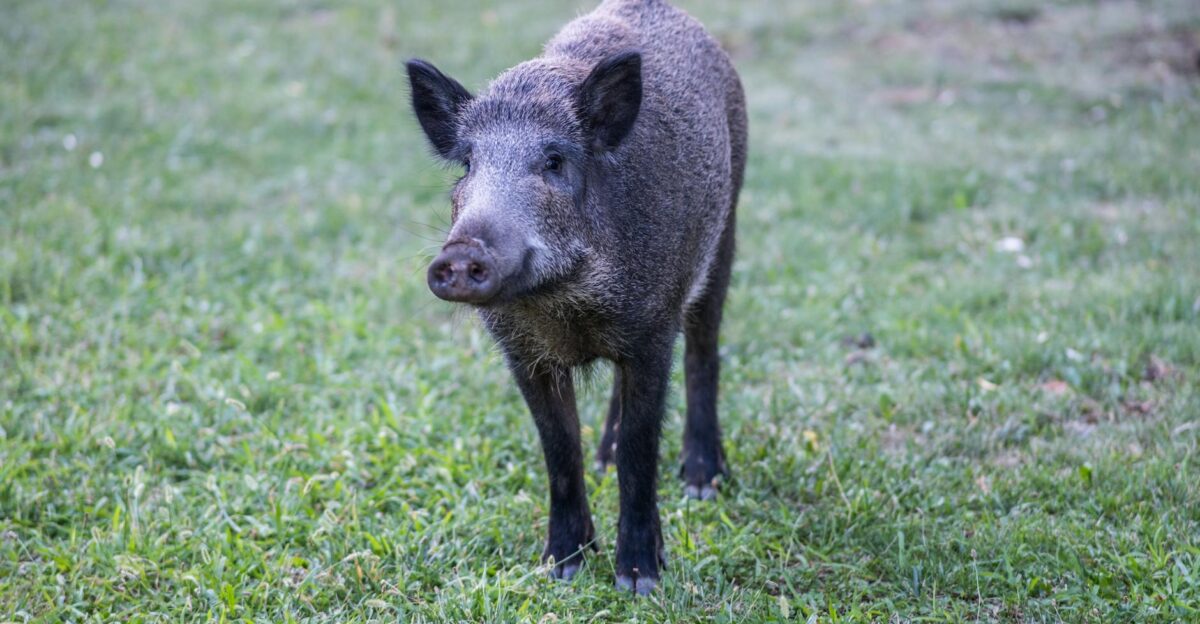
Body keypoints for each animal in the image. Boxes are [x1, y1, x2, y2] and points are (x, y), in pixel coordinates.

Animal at [406, 0, 746, 595]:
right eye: (468, 164)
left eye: (554, 161)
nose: (461, 253)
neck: (563, 306)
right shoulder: (523, 353)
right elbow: (560, 447)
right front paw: (561, 568)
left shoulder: (653, 331)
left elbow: (640, 446)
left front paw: (639, 580)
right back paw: (606, 460)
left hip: (727, 227)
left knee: (704, 350)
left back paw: (703, 482)